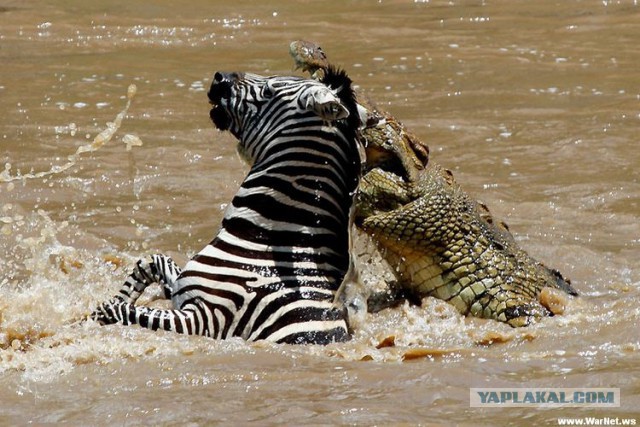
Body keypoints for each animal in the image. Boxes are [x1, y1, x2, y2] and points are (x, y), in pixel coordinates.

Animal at [89, 67, 364, 348]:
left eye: (269, 92)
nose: (219, 77)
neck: (269, 236)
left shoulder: (205, 318)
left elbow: (123, 311)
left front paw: (94, 319)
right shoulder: (182, 289)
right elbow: (150, 262)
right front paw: (113, 301)